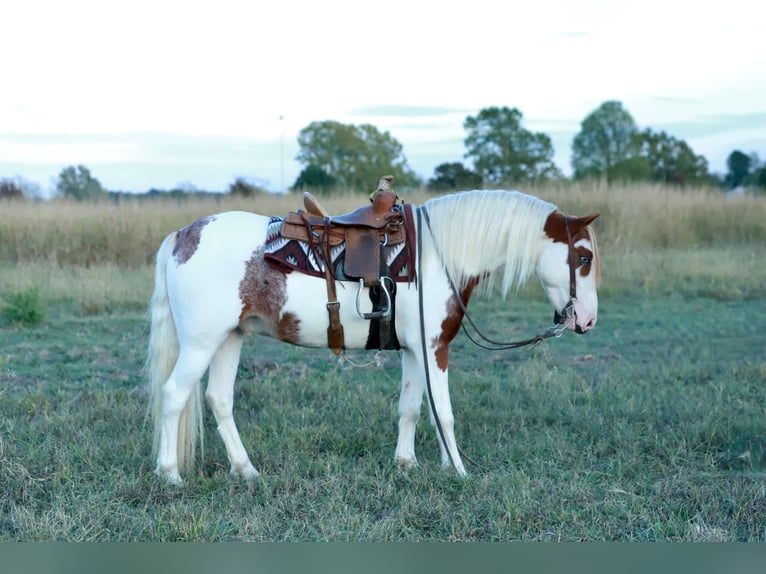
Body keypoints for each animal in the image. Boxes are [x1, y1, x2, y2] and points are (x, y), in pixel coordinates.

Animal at [147, 189, 600, 484]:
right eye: (583, 257)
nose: (588, 320)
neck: (437, 256)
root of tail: (184, 235)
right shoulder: (434, 348)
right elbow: (444, 413)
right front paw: (459, 471)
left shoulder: (415, 350)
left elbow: (412, 408)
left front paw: (407, 464)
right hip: (202, 342)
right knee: (173, 395)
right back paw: (170, 475)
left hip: (230, 337)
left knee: (218, 400)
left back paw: (246, 471)